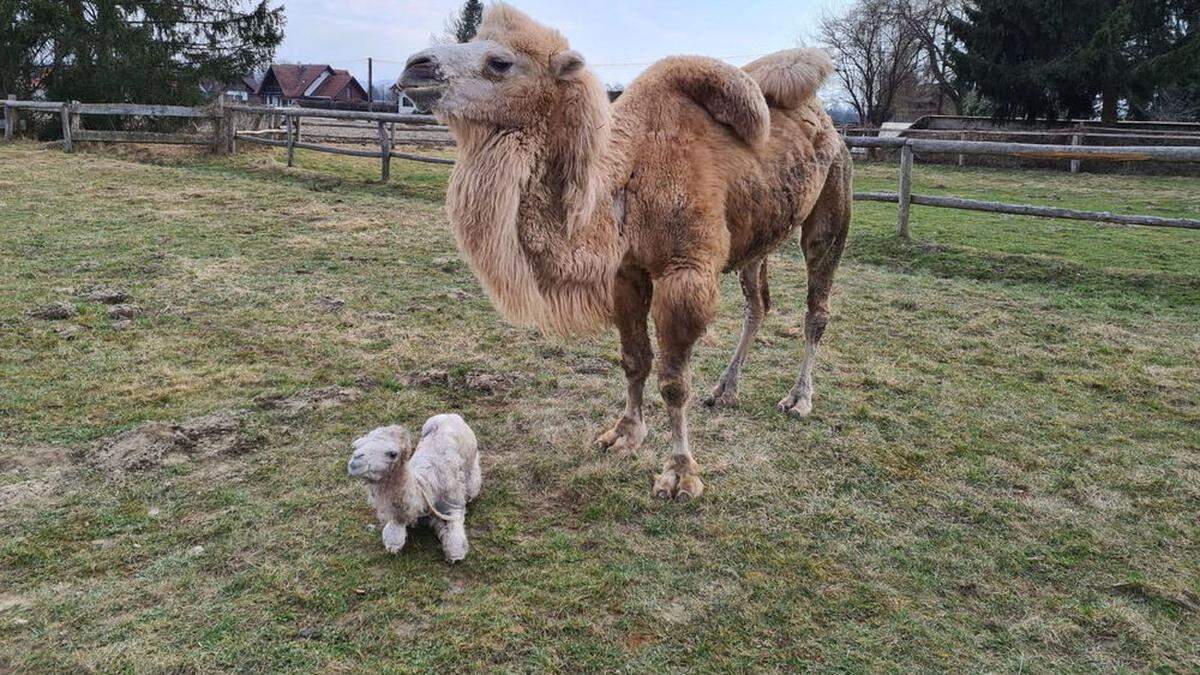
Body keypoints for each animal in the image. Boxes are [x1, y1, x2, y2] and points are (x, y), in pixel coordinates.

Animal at [345, 413, 480, 559]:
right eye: (357, 446)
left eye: (392, 454)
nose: (355, 462)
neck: (425, 486)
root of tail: (451, 415)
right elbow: (393, 532)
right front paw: (393, 545)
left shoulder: (454, 503)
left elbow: (455, 539)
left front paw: (455, 555)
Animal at [403, 3, 854, 499]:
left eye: (500, 62)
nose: (413, 67)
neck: (623, 181)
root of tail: (830, 124)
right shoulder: (626, 273)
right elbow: (634, 361)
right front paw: (623, 434)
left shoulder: (685, 272)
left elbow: (674, 382)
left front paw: (680, 473)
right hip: (758, 235)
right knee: (758, 305)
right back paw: (726, 390)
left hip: (833, 203)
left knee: (816, 307)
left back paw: (798, 399)